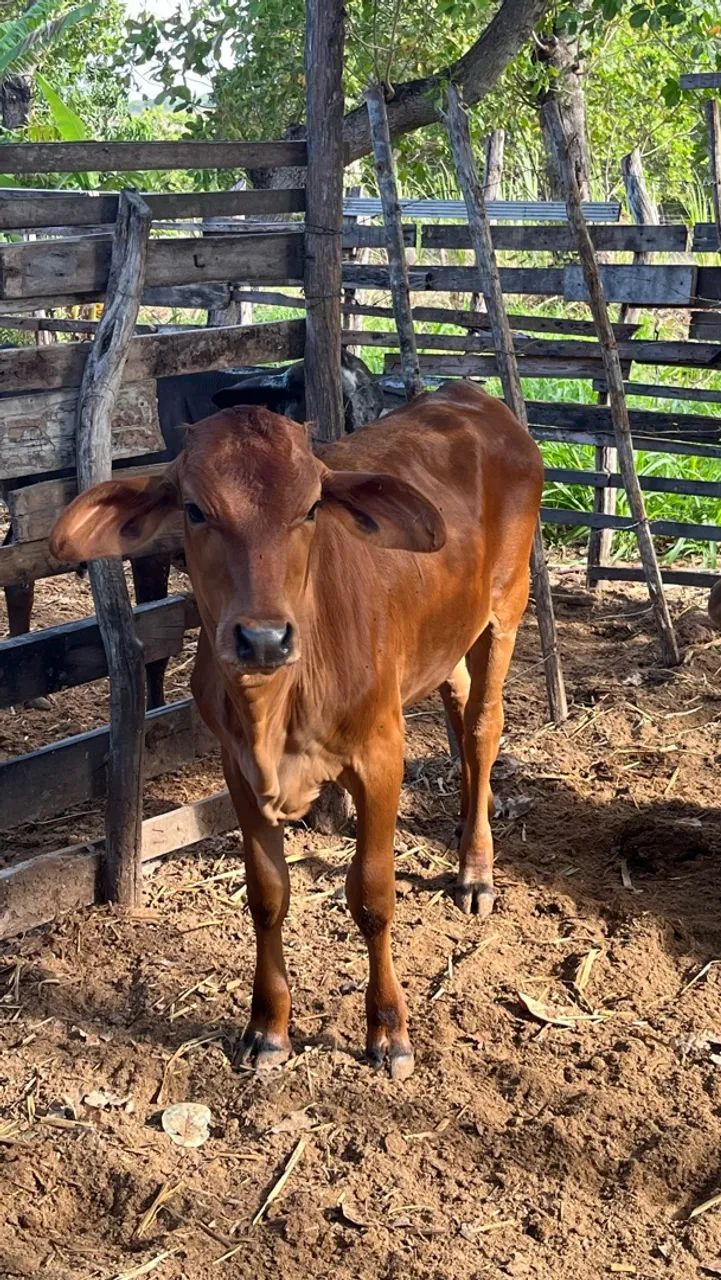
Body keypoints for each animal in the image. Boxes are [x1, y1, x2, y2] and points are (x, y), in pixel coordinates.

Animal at [49, 380, 542, 1079]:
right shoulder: (236, 768)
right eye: (194, 509)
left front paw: (388, 1030)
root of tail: (471, 396)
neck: (274, 708)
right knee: (457, 699)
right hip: (446, 631)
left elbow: (372, 895)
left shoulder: (381, 755)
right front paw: (268, 1027)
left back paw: (475, 869)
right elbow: (267, 895)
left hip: (506, 606)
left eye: (310, 509)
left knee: (481, 726)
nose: (262, 638)